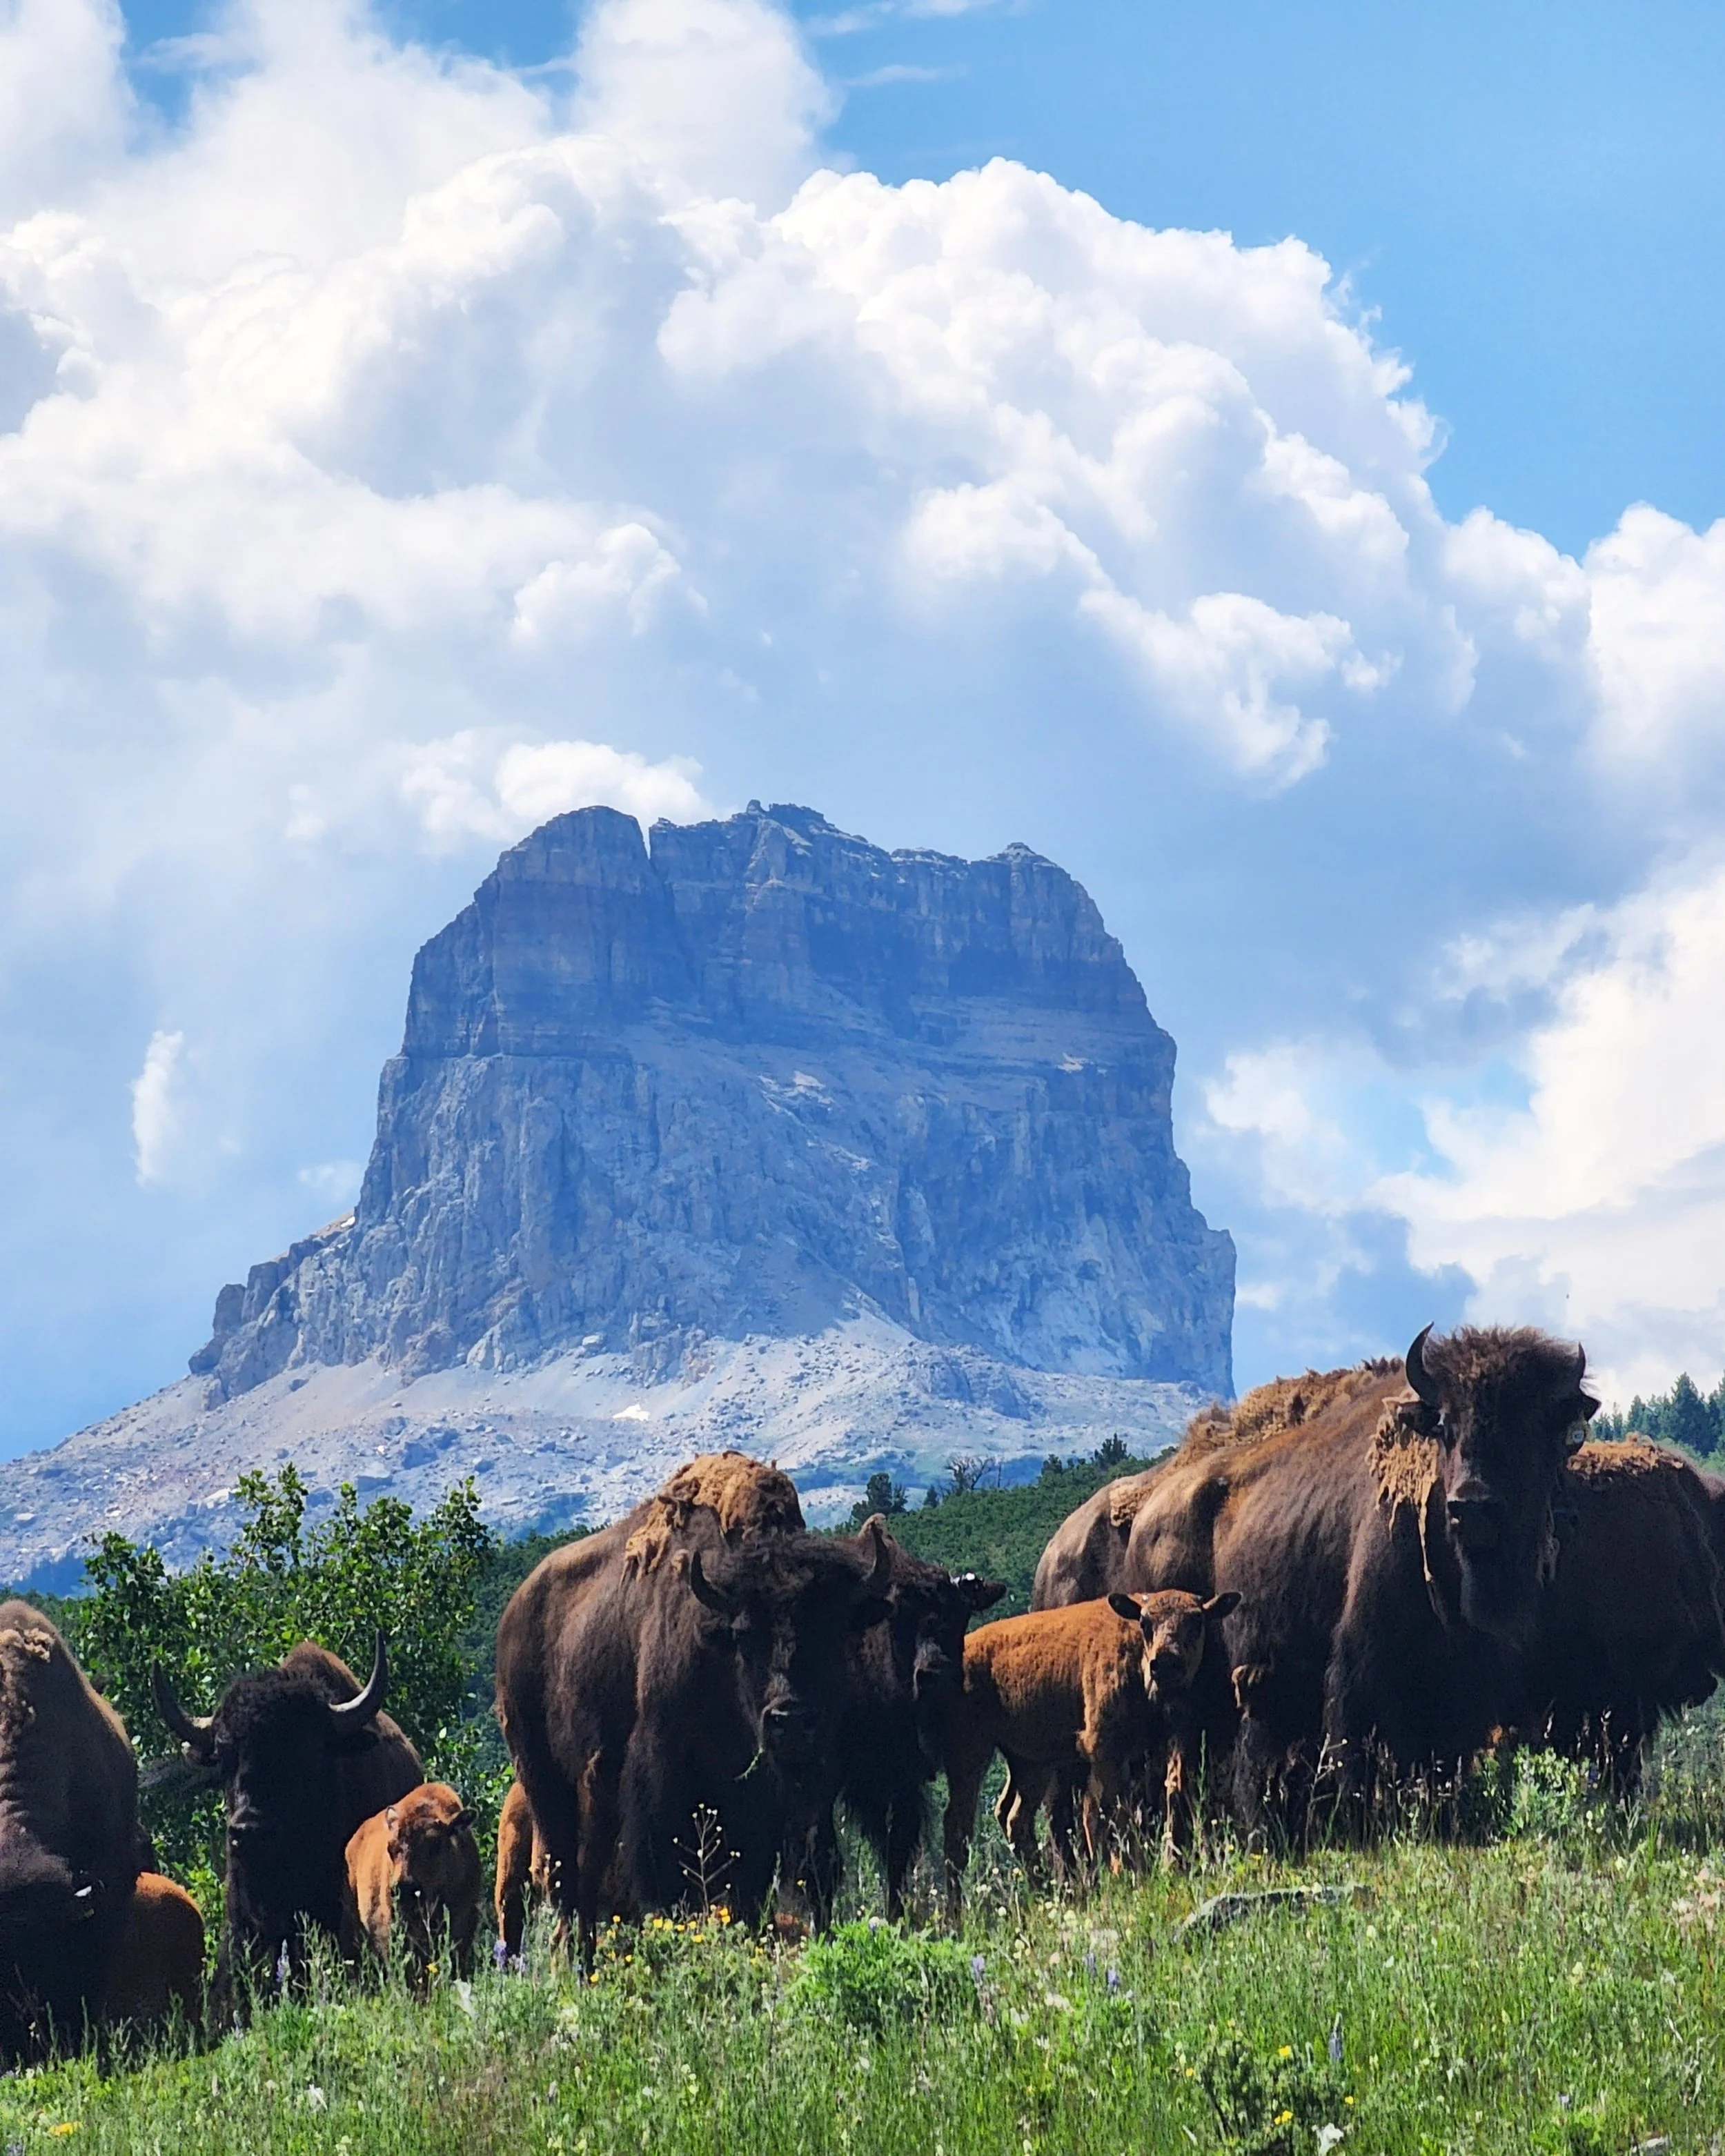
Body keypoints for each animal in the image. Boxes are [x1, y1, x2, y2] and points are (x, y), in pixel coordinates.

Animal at [496, 1455, 890, 1961]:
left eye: (835, 1629)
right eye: (744, 1635)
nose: (790, 1721)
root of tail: (514, 1615)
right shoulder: (663, 1783)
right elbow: (673, 1878)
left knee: (584, 1881)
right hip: (544, 1782)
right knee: (566, 1879)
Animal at [940, 1591, 1237, 1918]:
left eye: (1197, 1621)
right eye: (1145, 1622)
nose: (1165, 1663)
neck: (1134, 1655)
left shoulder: (1158, 1748)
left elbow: (1161, 1799)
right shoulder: (1103, 1751)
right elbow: (1107, 1814)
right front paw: (1126, 1880)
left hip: (1030, 1763)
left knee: (1014, 1817)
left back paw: (1046, 1894)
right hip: (971, 1754)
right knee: (957, 1825)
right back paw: (956, 1915)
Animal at [1122, 1326, 1598, 1835]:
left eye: (1529, 1428)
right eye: (1445, 1427)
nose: (1470, 1506)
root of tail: (1149, 1512)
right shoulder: (1363, 1658)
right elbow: (1354, 1741)